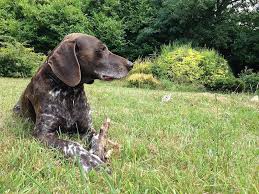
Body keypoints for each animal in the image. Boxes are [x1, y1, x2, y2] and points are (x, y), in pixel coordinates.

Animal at [12, 32, 133, 172]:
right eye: (102, 49)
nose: (131, 64)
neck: (70, 92)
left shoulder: (88, 129)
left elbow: (97, 138)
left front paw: (97, 152)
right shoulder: (42, 134)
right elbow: (72, 144)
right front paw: (92, 162)